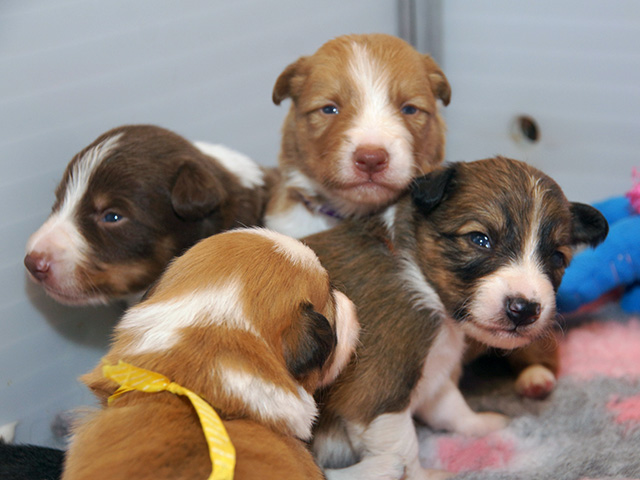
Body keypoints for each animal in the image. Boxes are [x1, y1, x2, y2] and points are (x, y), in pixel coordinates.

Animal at [302, 157, 608, 479]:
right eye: (480, 239)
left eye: (557, 258)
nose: (524, 309)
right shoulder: (377, 393)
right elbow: (405, 446)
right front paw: (423, 474)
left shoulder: (434, 371)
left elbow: (451, 407)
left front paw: (482, 424)